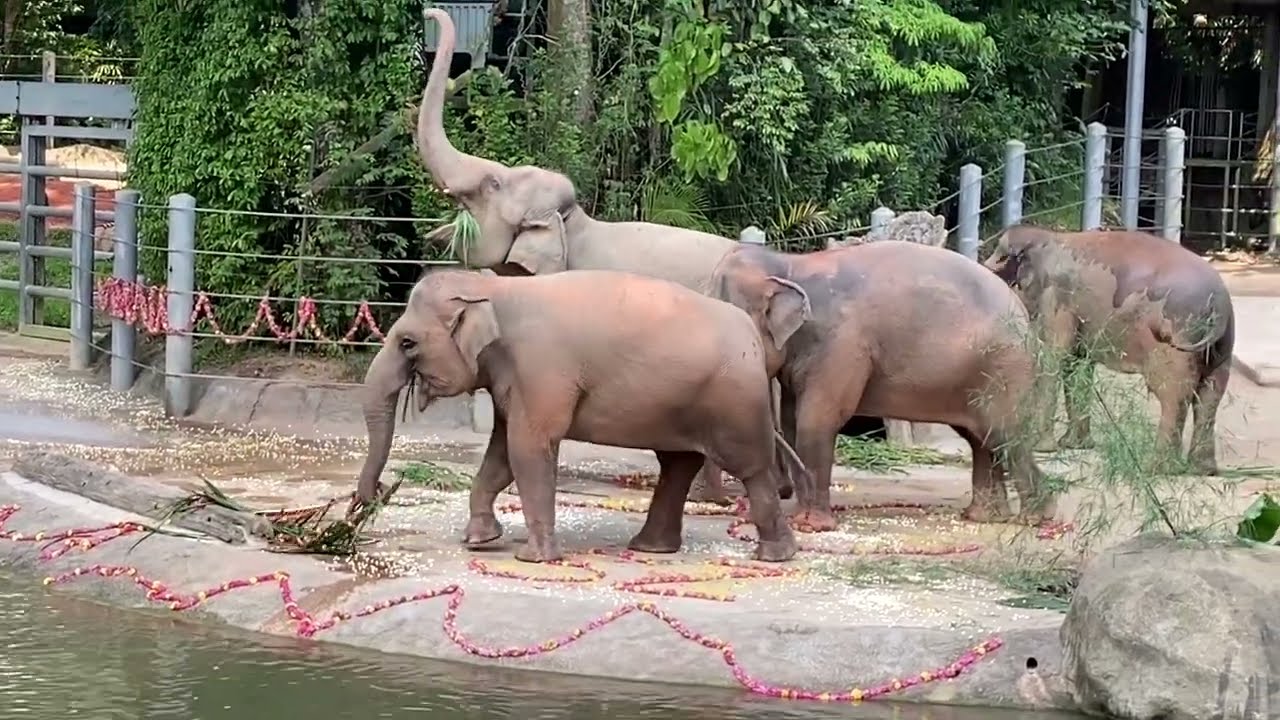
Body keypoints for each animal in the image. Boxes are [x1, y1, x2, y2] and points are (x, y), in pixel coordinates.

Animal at [352, 267, 807, 564]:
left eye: (407, 342)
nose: (372, 498)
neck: (493, 287)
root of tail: (754, 337)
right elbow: (501, 452)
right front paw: (481, 541)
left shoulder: (540, 369)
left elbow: (528, 447)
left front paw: (535, 559)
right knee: (677, 465)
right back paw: (649, 548)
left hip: (733, 402)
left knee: (749, 467)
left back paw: (774, 556)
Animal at [708, 240, 1056, 529]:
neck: (788, 264)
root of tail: (1023, 314)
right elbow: (792, 421)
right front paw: (801, 519)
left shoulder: (841, 345)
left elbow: (816, 420)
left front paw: (812, 527)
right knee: (982, 440)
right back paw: (983, 517)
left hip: (1004, 368)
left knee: (1005, 435)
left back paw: (1035, 519)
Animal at [982, 225, 1234, 474]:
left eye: (998, 261)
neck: (1046, 236)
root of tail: (1219, 304)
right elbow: (1077, 366)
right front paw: (1074, 445)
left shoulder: (1057, 300)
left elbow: (1054, 358)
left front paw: (1040, 447)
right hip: (1222, 346)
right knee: (1210, 394)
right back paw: (1202, 470)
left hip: (1178, 336)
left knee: (1174, 393)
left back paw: (1156, 468)